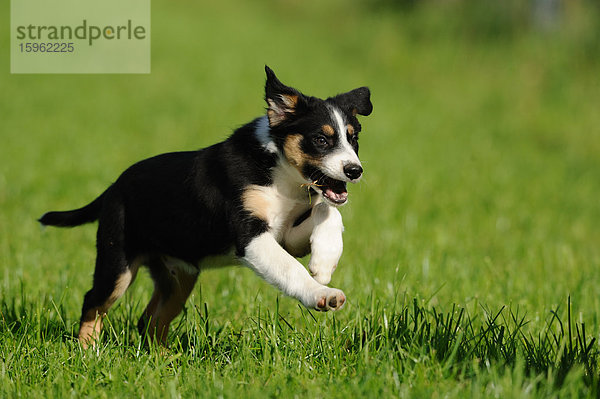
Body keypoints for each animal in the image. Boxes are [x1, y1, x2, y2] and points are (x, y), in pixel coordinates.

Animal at [38, 67, 370, 348]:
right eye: (321, 139)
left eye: (353, 139)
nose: (355, 171)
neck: (279, 172)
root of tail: (113, 187)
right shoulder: (251, 238)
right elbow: (290, 269)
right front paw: (323, 293)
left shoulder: (286, 235)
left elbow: (328, 210)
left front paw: (324, 264)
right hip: (117, 262)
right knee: (93, 302)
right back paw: (87, 352)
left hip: (178, 275)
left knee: (150, 320)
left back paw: (162, 359)